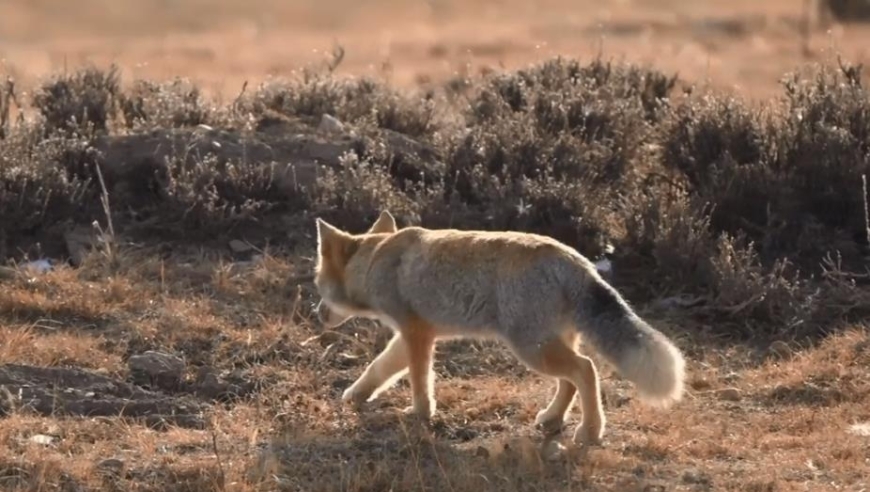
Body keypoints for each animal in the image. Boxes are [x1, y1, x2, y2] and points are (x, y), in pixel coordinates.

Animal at [314, 209, 688, 444]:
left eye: (317, 284)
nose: (317, 313)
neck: (377, 259)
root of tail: (576, 261)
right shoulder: (415, 334)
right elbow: (379, 368)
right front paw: (356, 395)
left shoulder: (416, 332)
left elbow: (419, 380)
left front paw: (420, 413)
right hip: (549, 345)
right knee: (571, 379)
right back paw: (553, 419)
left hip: (531, 349)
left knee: (586, 369)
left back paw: (591, 432)